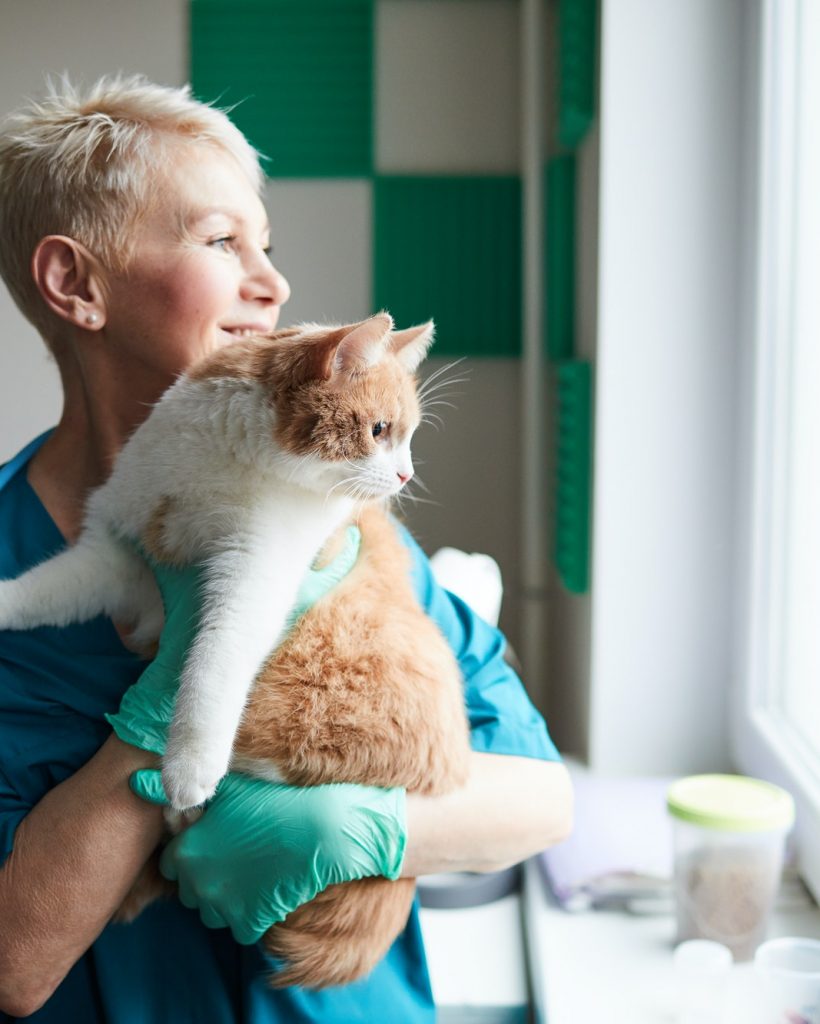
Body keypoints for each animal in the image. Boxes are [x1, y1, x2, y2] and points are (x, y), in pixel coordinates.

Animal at [0, 313, 470, 991]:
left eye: (405, 438)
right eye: (380, 431)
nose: (405, 476)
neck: (215, 464)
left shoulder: (252, 579)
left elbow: (211, 668)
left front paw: (188, 769)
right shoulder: (114, 557)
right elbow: (45, 588)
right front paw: (3, 601)